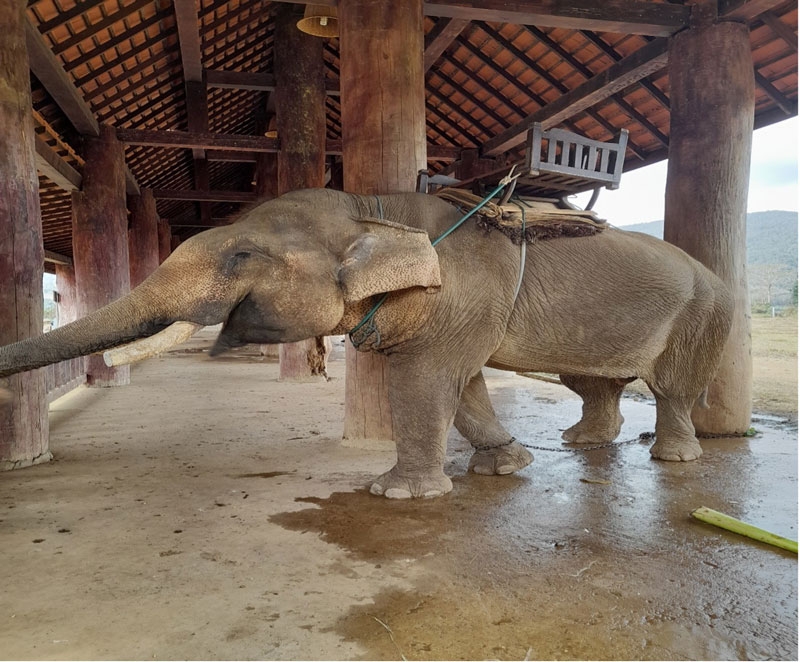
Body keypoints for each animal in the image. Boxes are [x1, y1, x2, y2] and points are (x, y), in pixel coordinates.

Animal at [0, 189, 732, 500]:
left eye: (240, 254)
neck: (377, 210)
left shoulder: (462, 293)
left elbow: (426, 380)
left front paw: (396, 496)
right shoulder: (464, 307)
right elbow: (463, 384)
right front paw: (506, 466)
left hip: (704, 315)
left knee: (670, 387)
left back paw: (674, 458)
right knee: (597, 382)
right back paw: (582, 443)